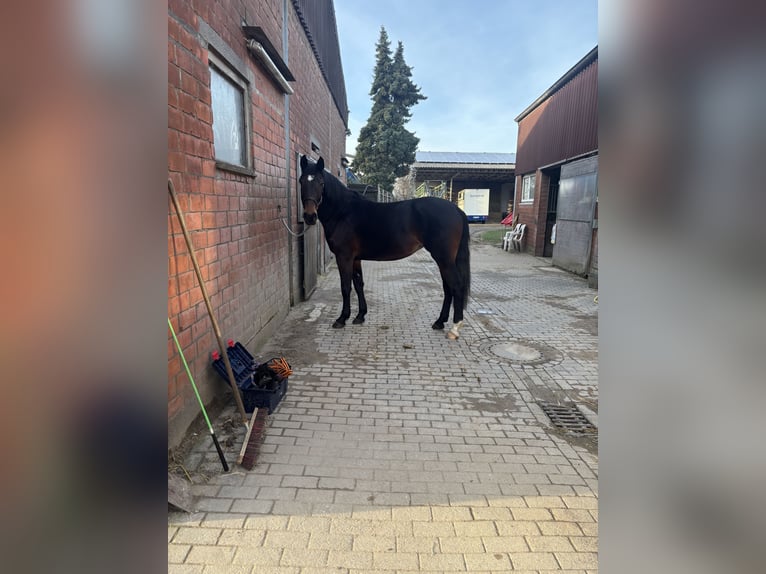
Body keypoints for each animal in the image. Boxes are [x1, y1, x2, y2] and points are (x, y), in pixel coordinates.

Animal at [299, 155, 471, 340]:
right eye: (301, 181)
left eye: (321, 182)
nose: (309, 216)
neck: (343, 212)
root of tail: (455, 209)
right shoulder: (355, 258)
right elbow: (359, 284)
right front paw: (360, 316)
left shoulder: (344, 257)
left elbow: (345, 287)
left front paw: (342, 318)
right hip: (444, 260)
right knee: (447, 287)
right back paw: (439, 322)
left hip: (443, 258)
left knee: (456, 286)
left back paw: (455, 328)